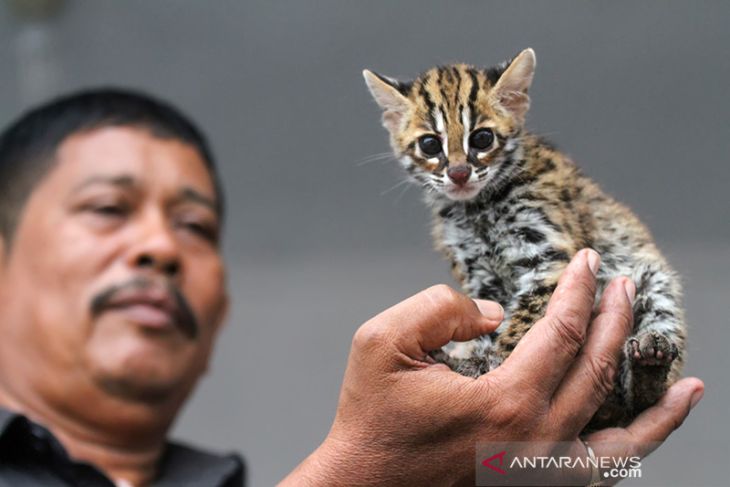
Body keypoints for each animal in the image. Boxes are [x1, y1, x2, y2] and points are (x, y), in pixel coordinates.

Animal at [362, 47, 684, 428]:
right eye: (429, 145)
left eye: (482, 138)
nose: (459, 173)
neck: (478, 208)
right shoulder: (480, 278)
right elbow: (491, 324)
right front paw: (474, 361)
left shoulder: (548, 256)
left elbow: (520, 324)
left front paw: (489, 364)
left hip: (655, 282)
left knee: (637, 401)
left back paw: (650, 359)